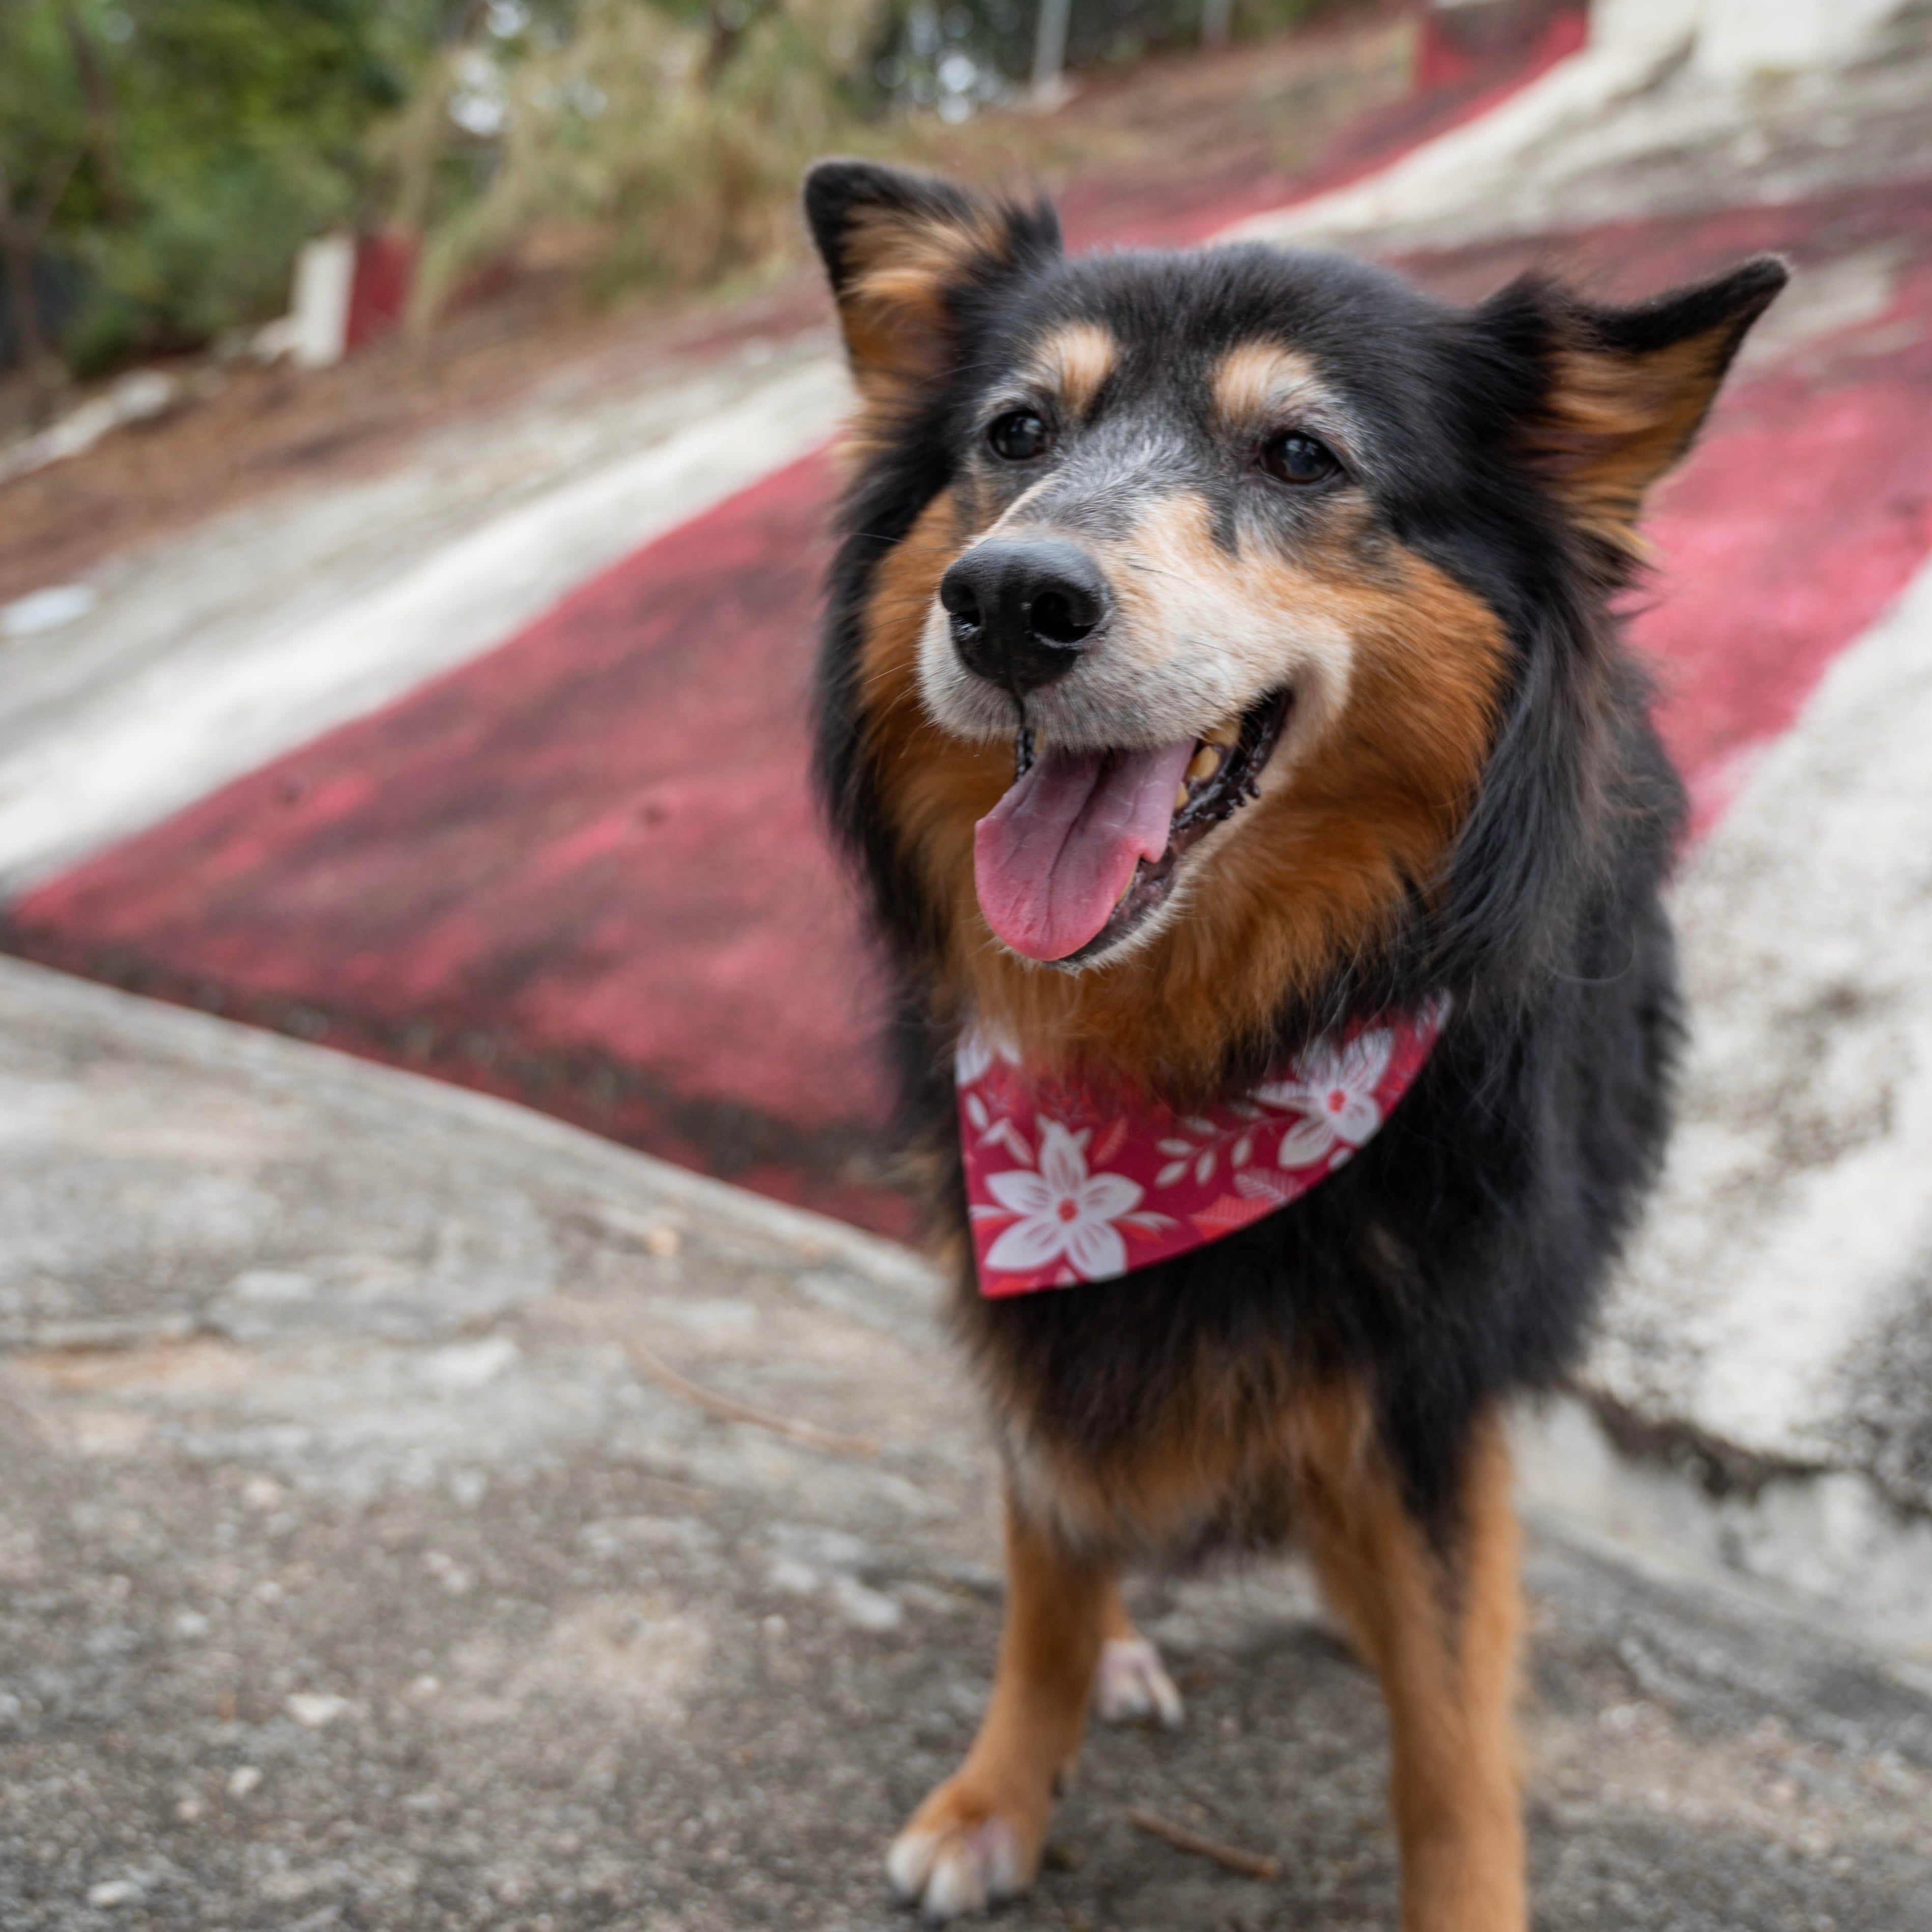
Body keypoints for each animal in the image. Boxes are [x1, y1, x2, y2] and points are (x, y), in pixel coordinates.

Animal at [800, 154, 1777, 1932]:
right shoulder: (1018, 1262)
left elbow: (1448, 1716)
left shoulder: (1429, 1371)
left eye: (1300, 455)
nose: (1007, 603)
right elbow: (1046, 1555)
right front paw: (999, 1790)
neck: (1192, 1058)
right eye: (1014, 434)